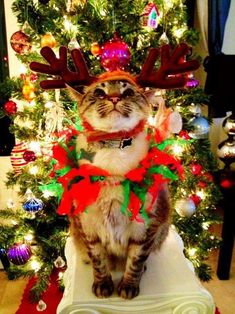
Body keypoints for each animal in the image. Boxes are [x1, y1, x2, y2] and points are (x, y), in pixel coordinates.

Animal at [66, 76, 171, 300]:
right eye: (99, 93)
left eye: (128, 92)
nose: (114, 98)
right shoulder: (89, 228)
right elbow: (98, 261)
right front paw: (102, 285)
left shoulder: (145, 228)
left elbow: (136, 261)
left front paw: (128, 287)